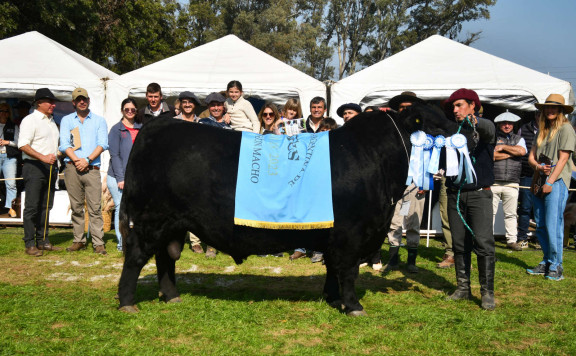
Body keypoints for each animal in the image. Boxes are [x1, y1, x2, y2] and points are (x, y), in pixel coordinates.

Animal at [116, 104, 468, 316]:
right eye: (432, 122)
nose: (465, 131)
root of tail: (156, 125)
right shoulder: (351, 235)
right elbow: (348, 271)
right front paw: (353, 305)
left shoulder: (335, 236)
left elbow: (332, 270)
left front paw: (333, 298)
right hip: (150, 220)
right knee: (136, 258)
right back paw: (127, 302)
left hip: (173, 223)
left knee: (166, 258)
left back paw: (171, 295)